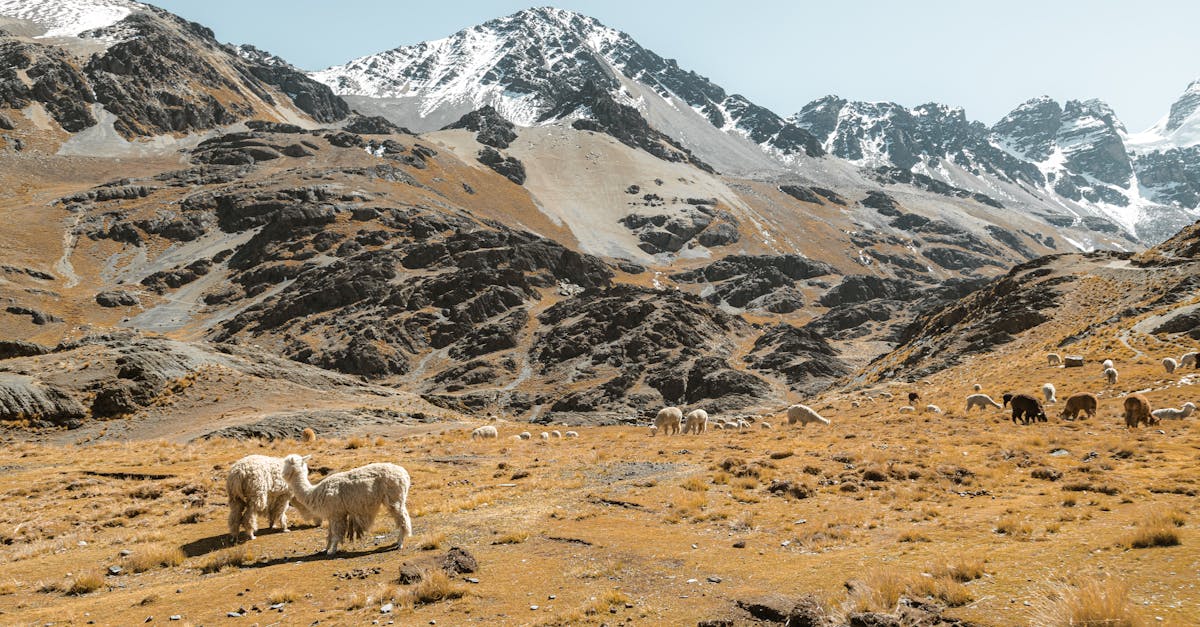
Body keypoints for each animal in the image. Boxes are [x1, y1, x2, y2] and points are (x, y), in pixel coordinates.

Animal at [281, 454, 411, 556]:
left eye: (287, 463)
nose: (282, 475)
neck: (313, 492)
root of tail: (404, 473)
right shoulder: (332, 514)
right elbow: (330, 534)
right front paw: (325, 549)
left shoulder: (337, 513)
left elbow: (336, 533)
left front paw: (332, 551)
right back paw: (398, 541)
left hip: (395, 498)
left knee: (403, 519)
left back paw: (400, 543)